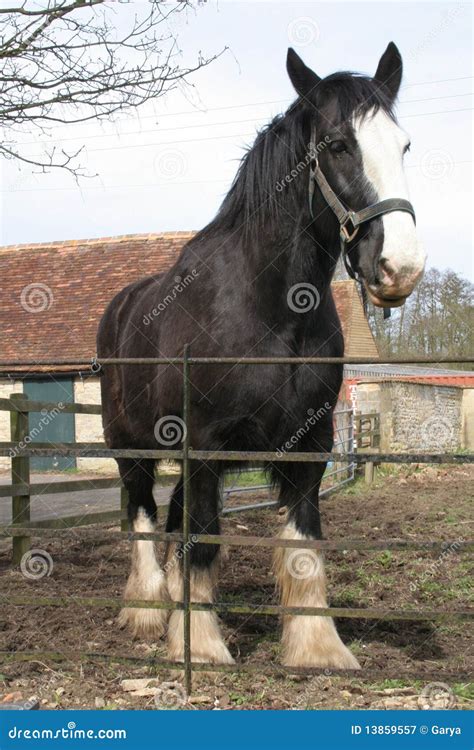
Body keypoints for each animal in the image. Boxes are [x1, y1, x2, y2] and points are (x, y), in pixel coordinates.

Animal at [98, 45, 424, 668]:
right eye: (337, 145)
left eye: (404, 146)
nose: (400, 267)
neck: (271, 308)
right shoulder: (204, 446)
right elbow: (200, 540)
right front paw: (200, 645)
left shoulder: (310, 447)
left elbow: (303, 546)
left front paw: (318, 647)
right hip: (131, 448)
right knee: (145, 516)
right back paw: (148, 609)